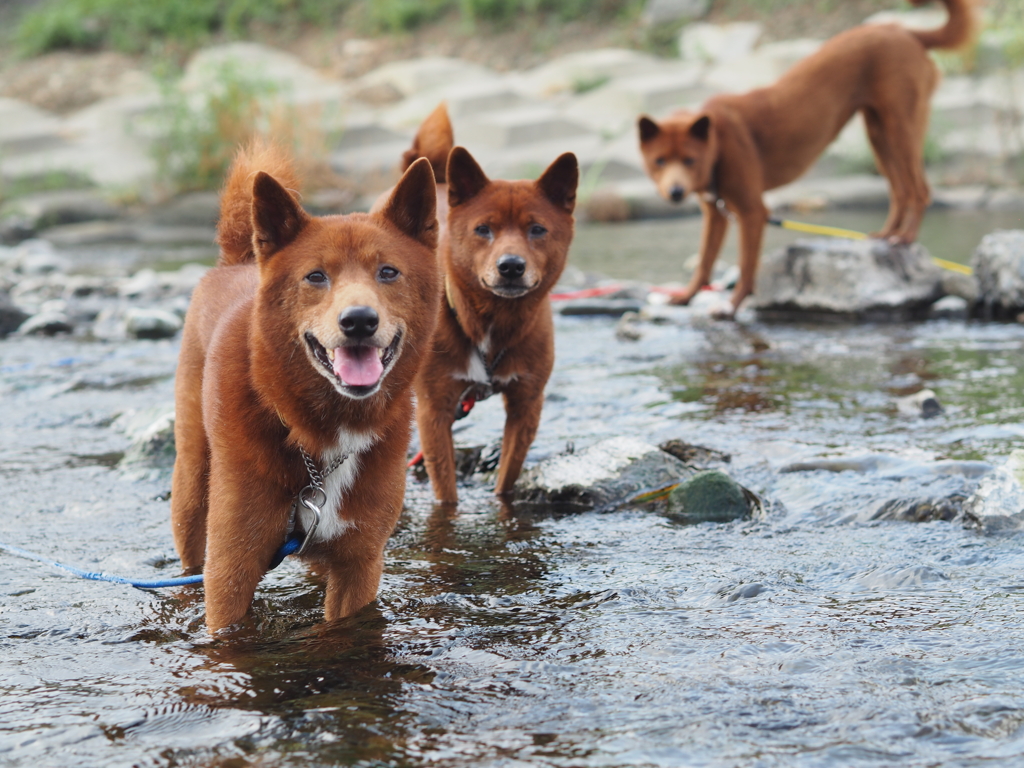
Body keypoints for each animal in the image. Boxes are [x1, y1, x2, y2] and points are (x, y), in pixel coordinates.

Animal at [168, 138, 440, 630]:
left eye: (388, 272)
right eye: (316, 276)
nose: (359, 321)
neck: (322, 437)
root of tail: (236, 261)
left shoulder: (359, 566)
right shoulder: (230, 571)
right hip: (192, 485)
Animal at [395, 105, 581, 507]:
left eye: (537, 229)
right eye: (483, 229)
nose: (511, 266)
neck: (491, 325)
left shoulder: (526, 405)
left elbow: (506, 477)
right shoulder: (435, 410)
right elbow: (446, 490)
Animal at [638, 0, 974, 319]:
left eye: (690, 160)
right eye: (659, 161)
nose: (676, 192)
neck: (718, 141)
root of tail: (902, 30)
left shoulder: (752, 212)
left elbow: (746, 267)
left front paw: (730, 307)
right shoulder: (715, 214)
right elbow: (704, 263)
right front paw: (685, 297)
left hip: (900, 130)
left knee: (920, 190)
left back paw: (905, 238)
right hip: (879, 136)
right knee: (900, 190)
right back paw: (886, 235)